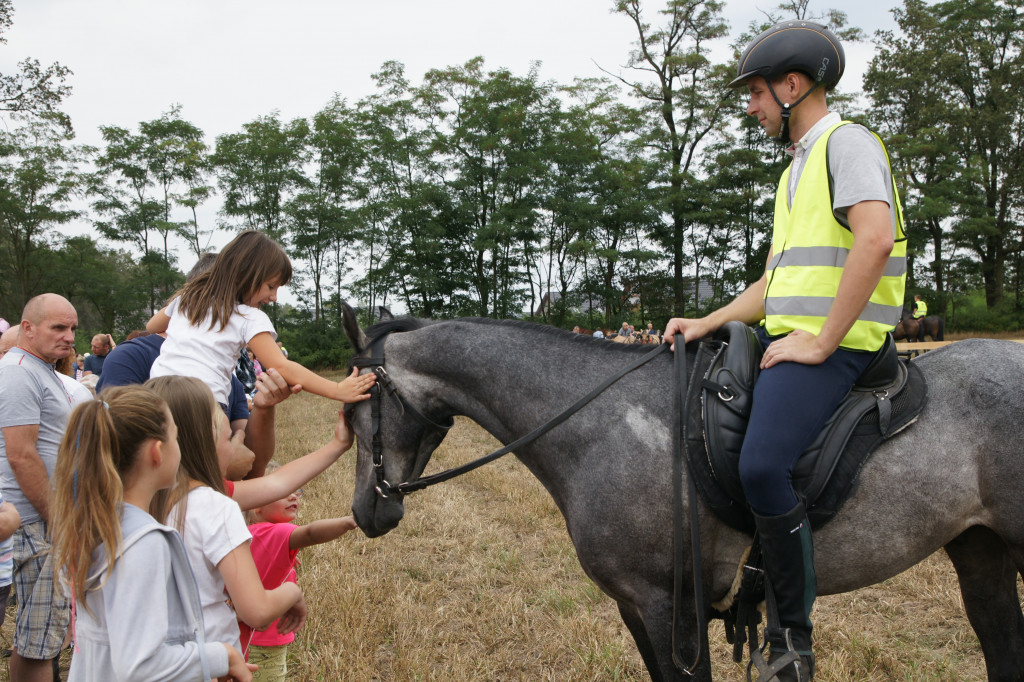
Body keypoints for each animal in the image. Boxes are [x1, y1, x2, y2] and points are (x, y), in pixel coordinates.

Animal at [342, 303, 1024, 679]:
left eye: (353, 412)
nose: (366, 511)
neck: (602, 423)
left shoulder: (669, 608)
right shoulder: (636, 607)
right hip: (980, 549)